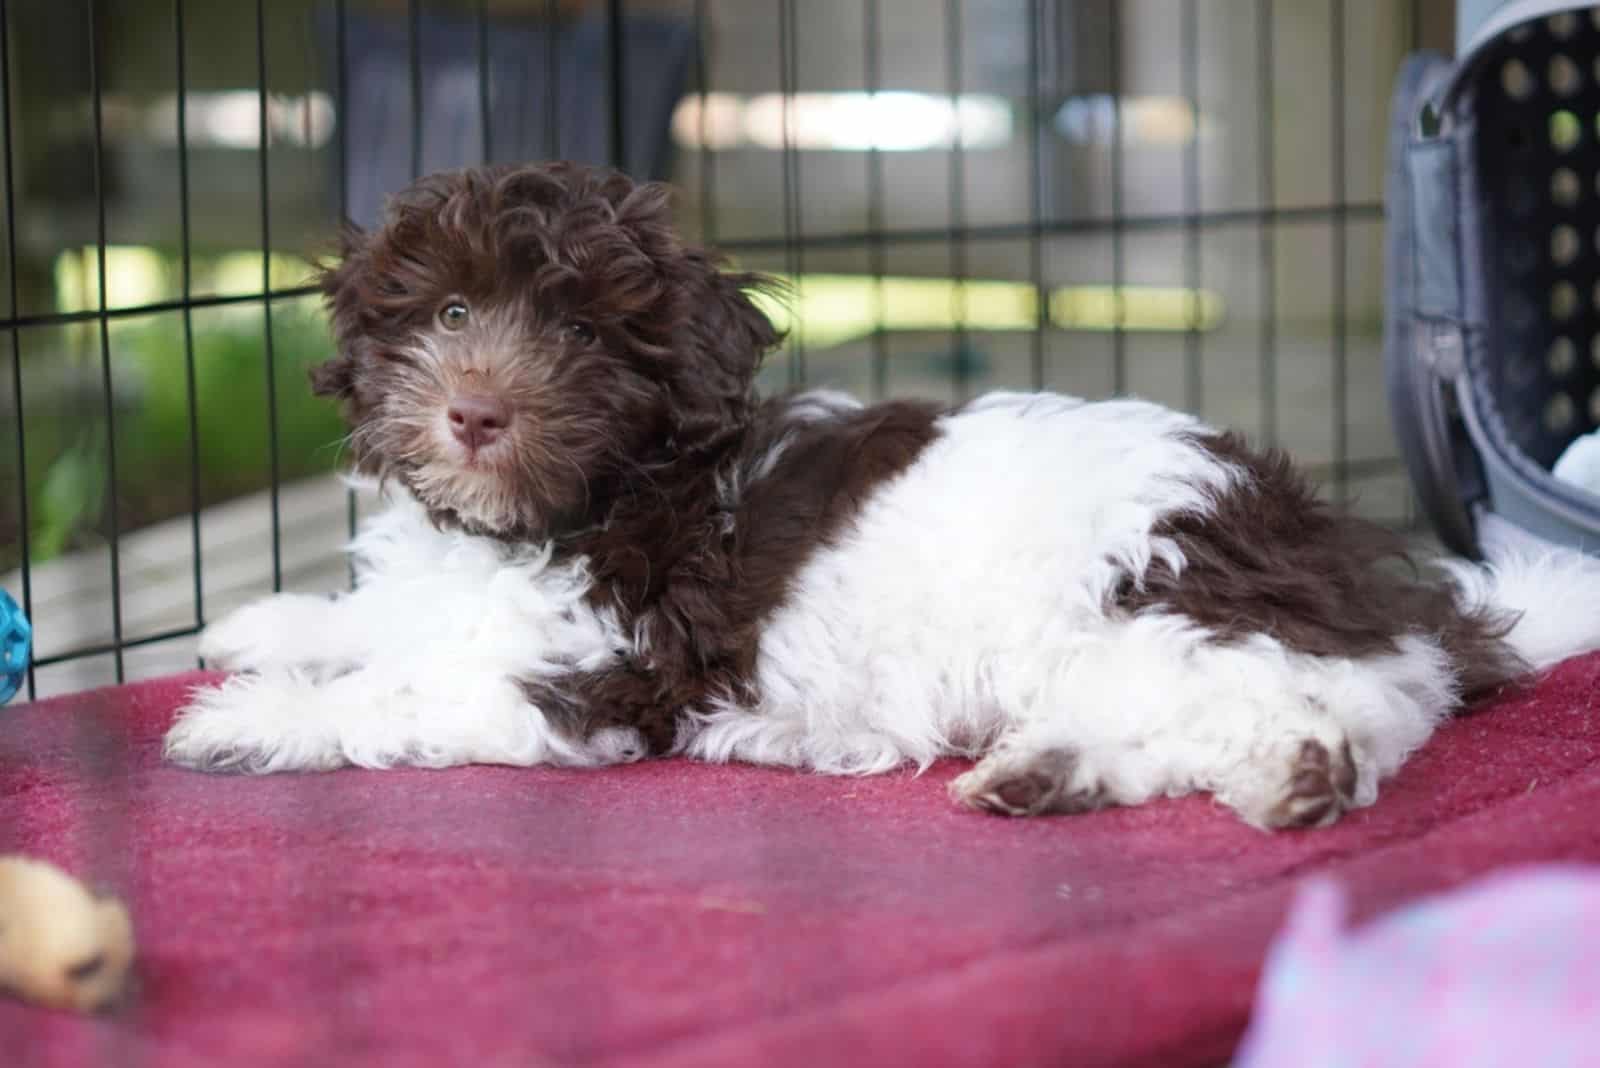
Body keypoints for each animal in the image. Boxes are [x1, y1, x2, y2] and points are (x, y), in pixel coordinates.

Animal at [162, 167, 1600, 831]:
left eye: (575, 333)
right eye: (452, 312)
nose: (473, 415)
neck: (566, 509)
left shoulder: (593, 673)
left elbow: (401, 691)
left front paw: (252, 718)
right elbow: (382, 625)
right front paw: (267, 630)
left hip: (1159, 602)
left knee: (1350, 702)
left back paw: (1300, 773)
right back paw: (1046, 774)